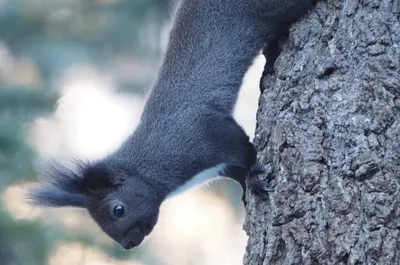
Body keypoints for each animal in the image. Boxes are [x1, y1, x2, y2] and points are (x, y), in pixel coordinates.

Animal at [26, 0, 318, 250]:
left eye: (118, 210)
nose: (127, 245)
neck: (149, 168)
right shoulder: (218, 163)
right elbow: (236, 168)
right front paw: (247, 186)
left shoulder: (201, 133)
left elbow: (241, 147)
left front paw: (254, 178)